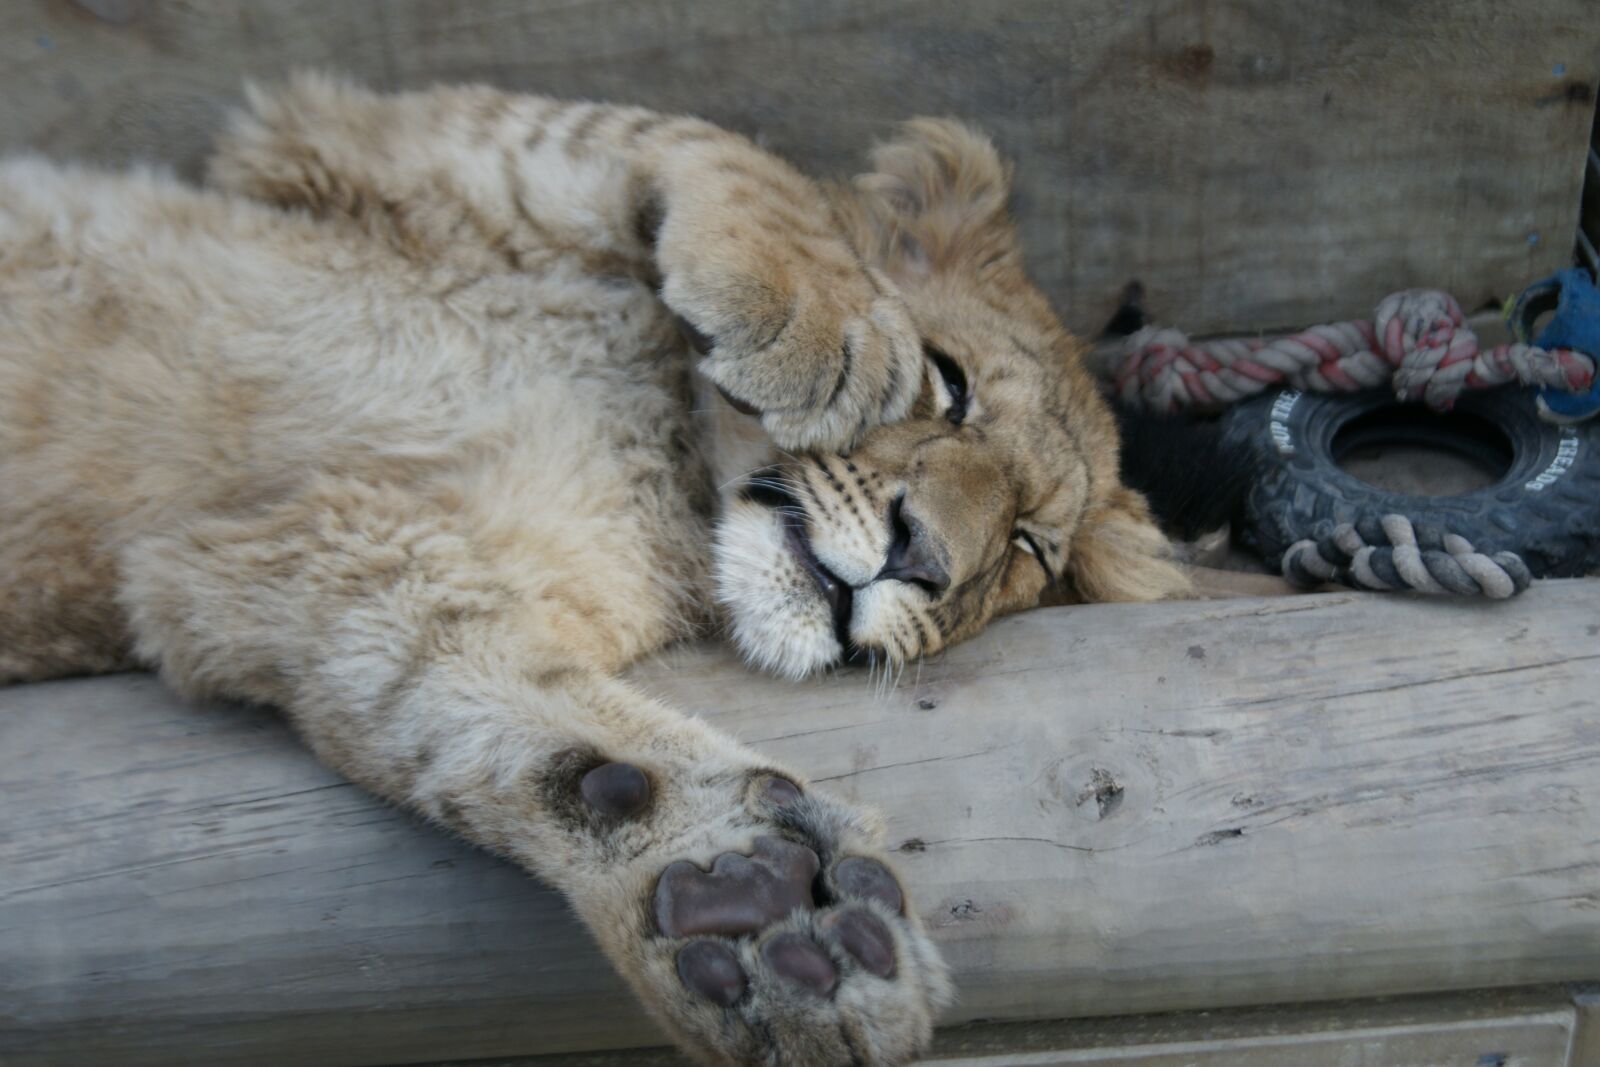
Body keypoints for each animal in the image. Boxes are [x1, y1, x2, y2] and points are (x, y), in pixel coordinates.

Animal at [0, 75, 1187, 1066]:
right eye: (948, 385)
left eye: (1026, 548)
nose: (923, 555)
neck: (673, 446)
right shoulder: (336, 140)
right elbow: (703, 140)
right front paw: (818, 324)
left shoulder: (295, 562)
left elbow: (497, 722)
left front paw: (748, 905)